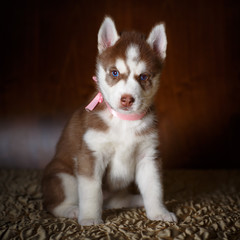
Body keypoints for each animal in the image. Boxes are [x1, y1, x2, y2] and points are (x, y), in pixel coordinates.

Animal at [42, 16, 176, 225]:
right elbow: (91, 191)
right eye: (114, 73)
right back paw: (73, 210)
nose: (127, 99)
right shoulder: (91, 154)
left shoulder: (148, 155)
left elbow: (154, 188)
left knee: (117, 200)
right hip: (62, 177)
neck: (124, 121)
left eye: (143, 76)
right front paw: (90, 217)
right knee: (54, 204)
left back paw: (136, 200)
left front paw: (159, 212)